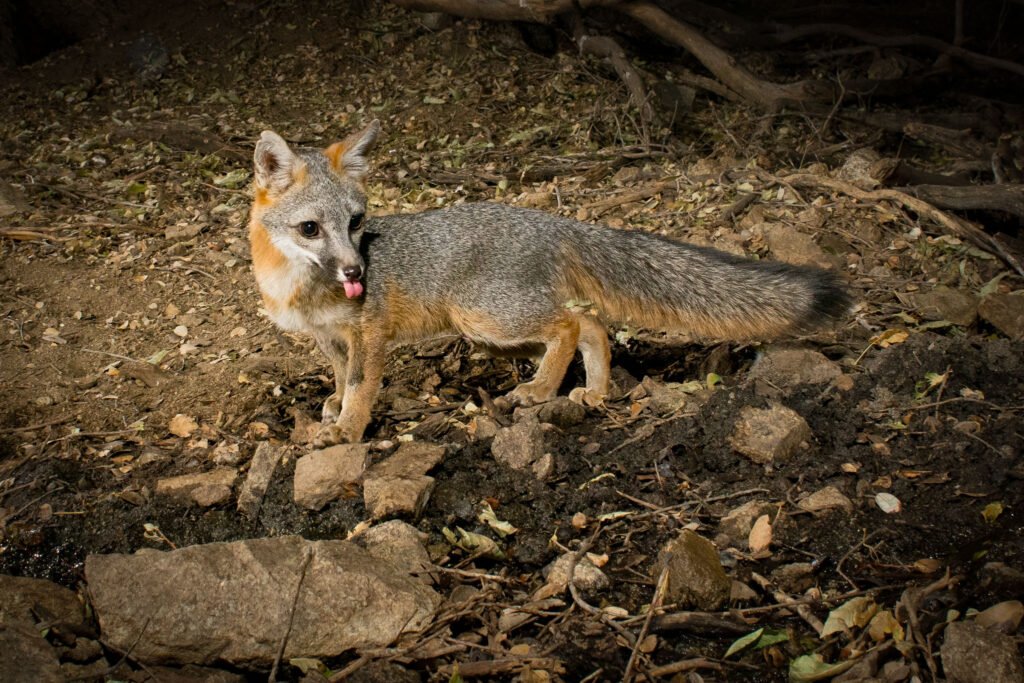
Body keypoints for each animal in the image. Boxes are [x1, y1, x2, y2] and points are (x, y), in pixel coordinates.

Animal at [248, 120, 851, 445]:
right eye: (311, 228)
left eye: (356, 222)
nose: (356, 271)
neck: (297, 286)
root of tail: (552, 220)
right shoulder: (331, 338)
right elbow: (340, 375)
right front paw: (333, 405)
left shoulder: (369, 334)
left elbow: (361, 386)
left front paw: (348, 430)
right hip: (497, 328)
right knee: (592, 324)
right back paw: (595, 391)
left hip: (483, 317)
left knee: (570, 324)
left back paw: (540, 391)